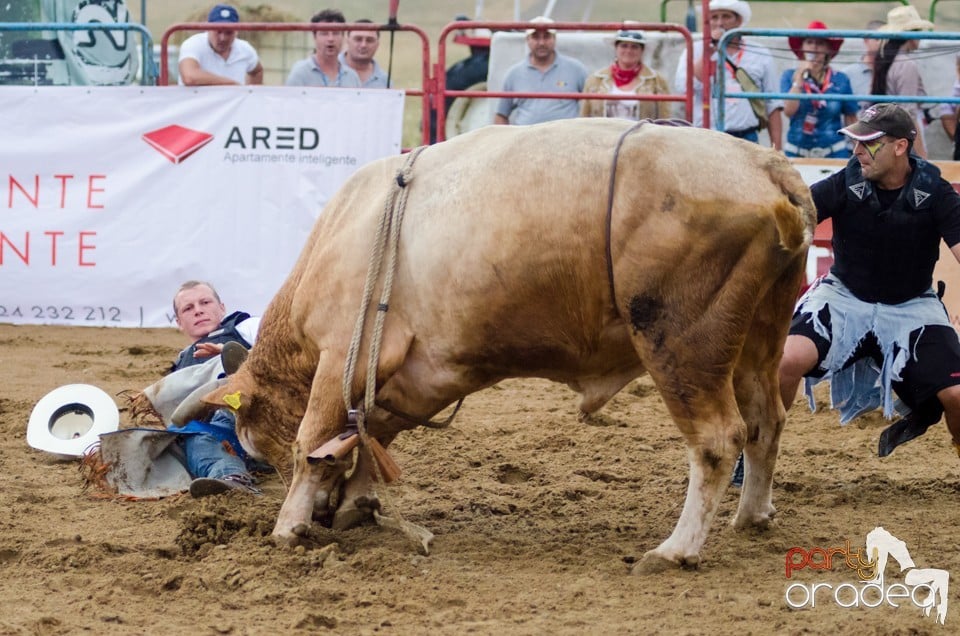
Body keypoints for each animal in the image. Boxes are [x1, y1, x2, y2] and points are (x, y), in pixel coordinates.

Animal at [197, 119, 816, 572]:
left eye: (254, 444)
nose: (323, 514)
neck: (346, 233)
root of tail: (767, 168)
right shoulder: (420, 372)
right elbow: (374, 431)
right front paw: (356, 501)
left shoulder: (340, 355)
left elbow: (314, 439)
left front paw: (291, 523)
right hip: (758, 340)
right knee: (765, 422)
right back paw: (751, 514)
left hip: (682, 344)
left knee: (717, 439)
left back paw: (676, 549)